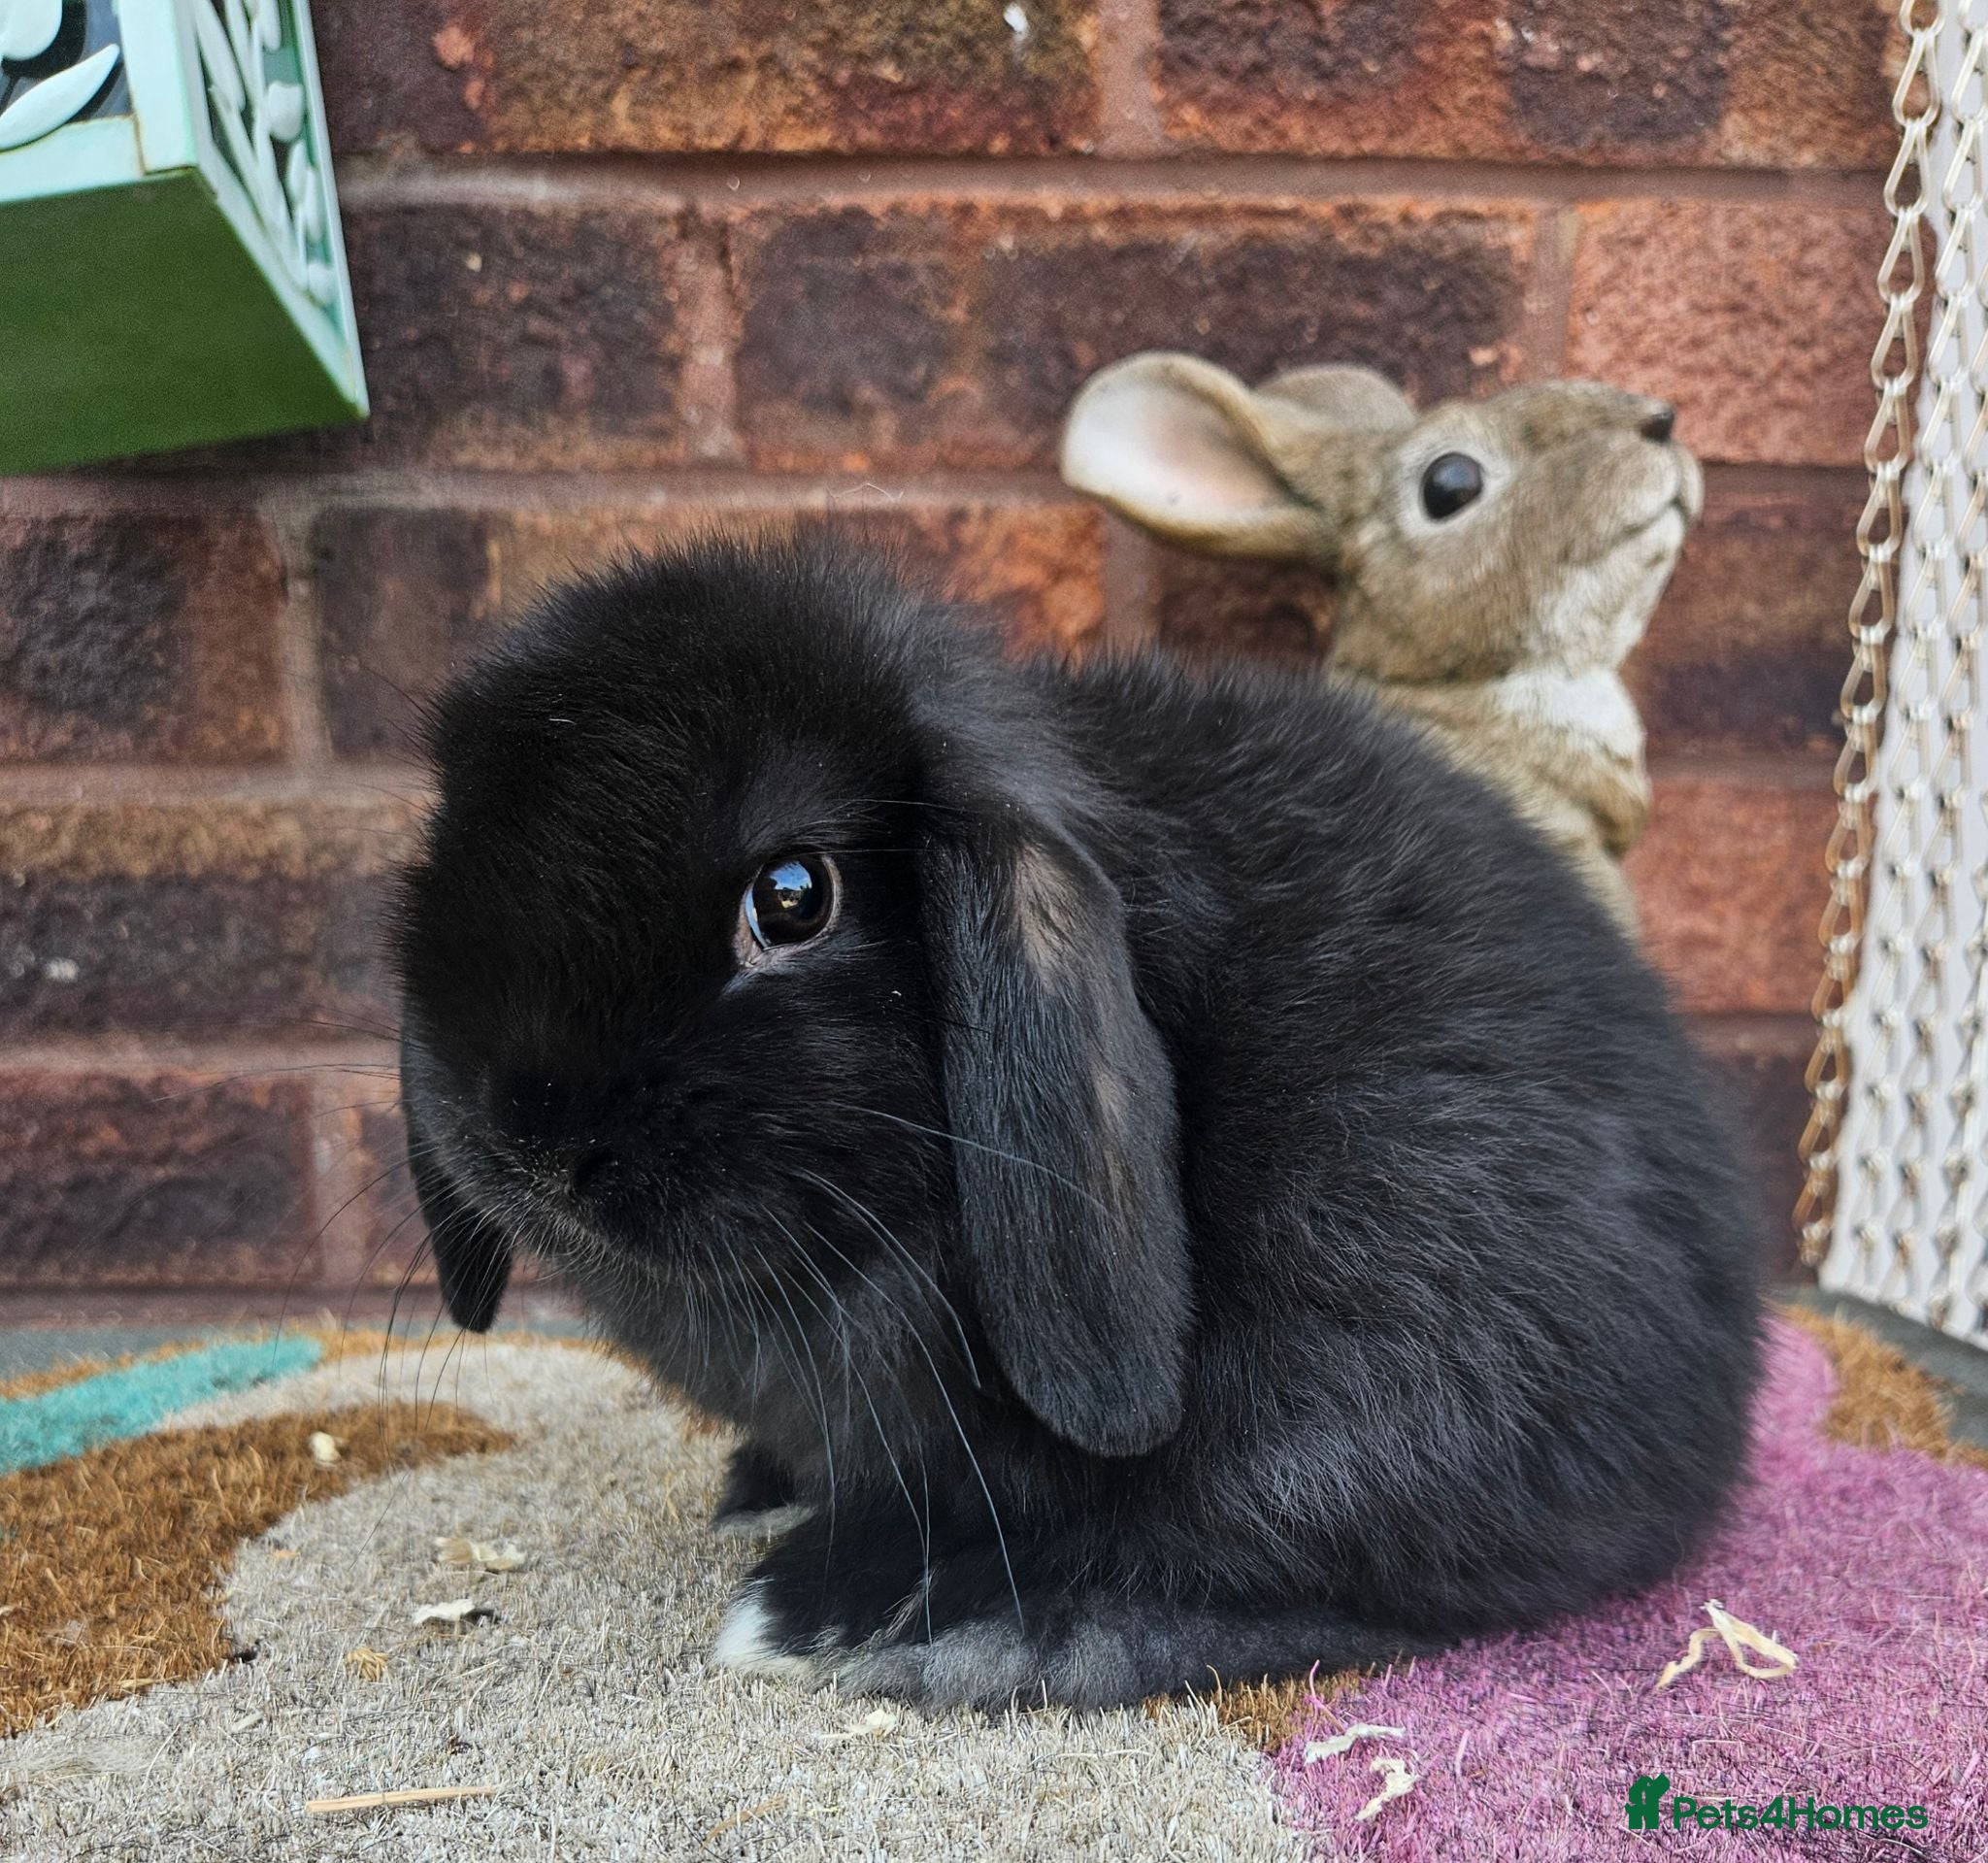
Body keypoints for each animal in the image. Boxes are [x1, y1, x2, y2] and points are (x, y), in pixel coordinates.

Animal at [392, 534, 1760, 1713]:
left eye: (791, 897)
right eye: (449, 845)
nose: (527, 1135)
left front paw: (842, 1591)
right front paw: (761, 1483)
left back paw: (943, 1632)